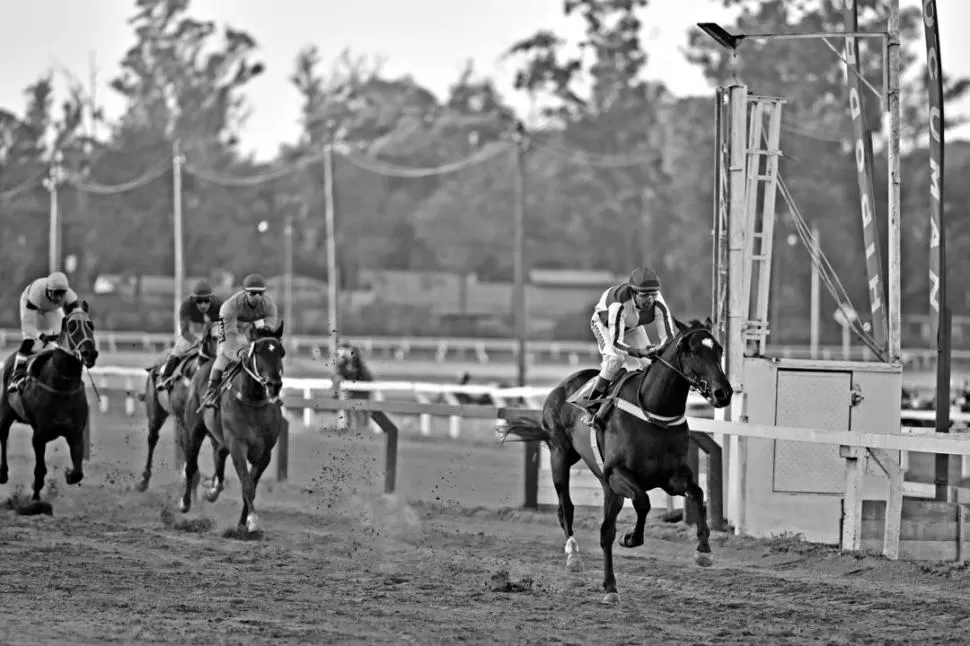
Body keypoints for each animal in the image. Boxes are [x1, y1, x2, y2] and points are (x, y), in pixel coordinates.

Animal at [0, 302, 99, 512]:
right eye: (72, 326)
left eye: (91, 325)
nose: (90, 353)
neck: (62, 387)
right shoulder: (39, 435)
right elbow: (40, 469)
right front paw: (35, 499)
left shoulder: (75, 433)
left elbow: (78, 471)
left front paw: (69, 474)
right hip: (5, 412)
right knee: (3, 436)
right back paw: (3, 473)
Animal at [178, 322, 284, 536]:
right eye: (259, 351)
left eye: (281, 352)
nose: (274, 384)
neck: (253, 401)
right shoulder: (237, 445)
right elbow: (247, 484)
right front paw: (253, 521)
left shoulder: (265, 454)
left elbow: (251, 484)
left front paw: (243, 523)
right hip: (194, 430)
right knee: (191, 464)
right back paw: (185, 502)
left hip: (219, 439)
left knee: (219, 457)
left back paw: (213, 491)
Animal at [496, 318, 728, 608]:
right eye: (695, 351)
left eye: (719, 349)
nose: (724, 393)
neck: (654, 413)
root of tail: (562, 386)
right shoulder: (617, 473)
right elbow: (643, 501)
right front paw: (631, 538)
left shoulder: (671, 477)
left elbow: (697, 492)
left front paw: (704, 550)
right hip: (560, 455)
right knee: (566, 509)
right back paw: (575, 557)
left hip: (608, 487)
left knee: (605, 530)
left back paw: (610, 586)